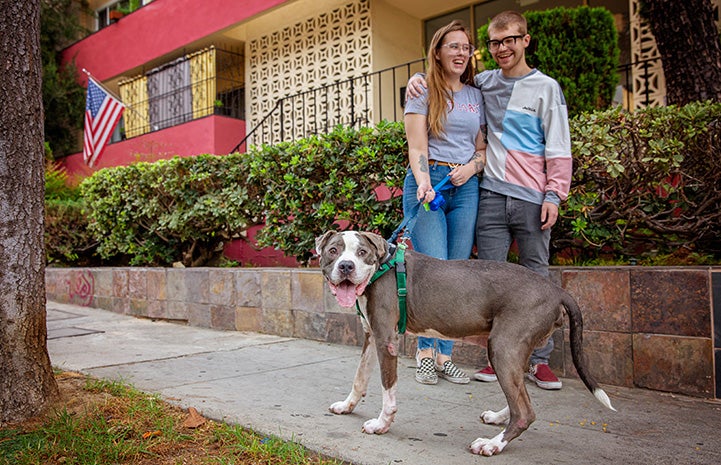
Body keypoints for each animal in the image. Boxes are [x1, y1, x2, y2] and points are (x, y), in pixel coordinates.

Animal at [316, 230, 612, 454]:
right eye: (333, 251)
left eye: (361, 253)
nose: (346, 266)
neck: (383, 265)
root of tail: (557, 290)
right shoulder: (371, 335)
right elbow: (359, 377)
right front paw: (346, 406)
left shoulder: (386, 339)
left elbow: (388, 391)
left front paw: (381, 425)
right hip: (517, 350)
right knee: (521, 394)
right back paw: (499, 417)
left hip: (502, 348)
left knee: (525, 412)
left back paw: (492, 444)